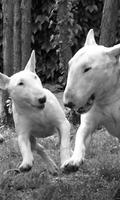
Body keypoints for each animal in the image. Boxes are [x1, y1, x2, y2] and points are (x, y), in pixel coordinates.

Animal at [63, 28, 120, 172]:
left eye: (87, 68)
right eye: (69, 65)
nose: (67, 104)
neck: (108, 98)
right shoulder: (89, 122)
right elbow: (80, 135)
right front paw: (74, 160)